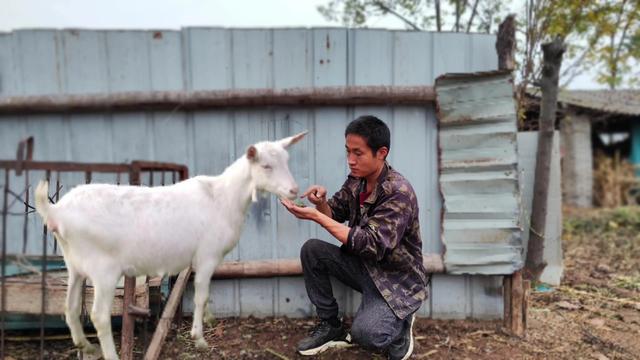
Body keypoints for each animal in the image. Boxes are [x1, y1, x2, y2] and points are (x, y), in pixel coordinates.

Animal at [35, 132, 308, 360]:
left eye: (286, 160)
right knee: (99, 316)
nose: (294, 190)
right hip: (104, 271)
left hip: (75, 265)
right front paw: (199, 339)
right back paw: (110, 355)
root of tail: (56, 212)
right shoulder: (206, 256)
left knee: (69, 307)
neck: (222, 197)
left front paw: (209, 320)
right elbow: (201, 294)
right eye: (266, 166)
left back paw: (85, 345)